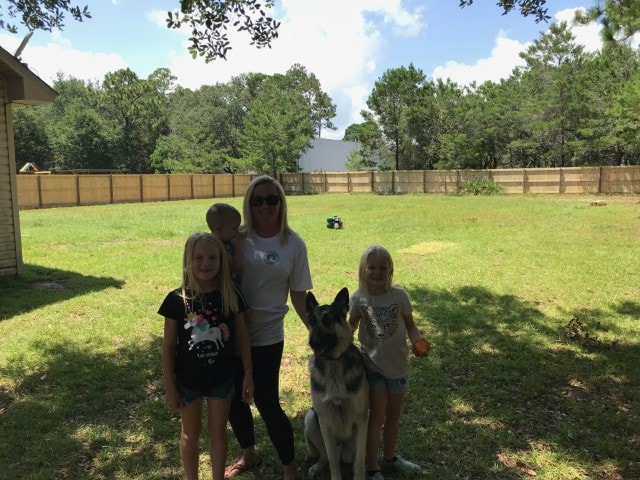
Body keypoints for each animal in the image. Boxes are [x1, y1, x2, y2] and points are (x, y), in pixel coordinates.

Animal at [304, 288, 370, 480]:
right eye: (312, 321)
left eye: (328, 320)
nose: (313, 343)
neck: (333, 363)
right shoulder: (325, 423)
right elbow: (332, 460)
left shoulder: (362, 421)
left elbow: (359, 462)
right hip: (310, 418)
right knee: (326, 456)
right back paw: (318, 466)